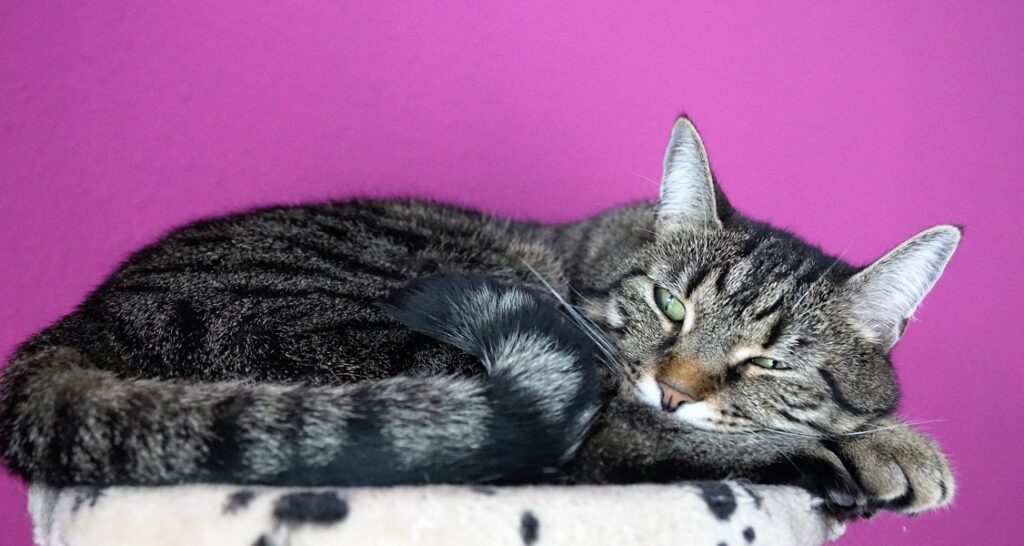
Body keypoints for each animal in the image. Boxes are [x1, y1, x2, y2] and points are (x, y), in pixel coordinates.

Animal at [2, 114, 958, 514]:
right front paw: (885, 448)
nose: (676, 388)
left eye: (770, 361)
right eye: (670, 304)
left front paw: (887, 437)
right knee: (574, 451)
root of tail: (70, 329)